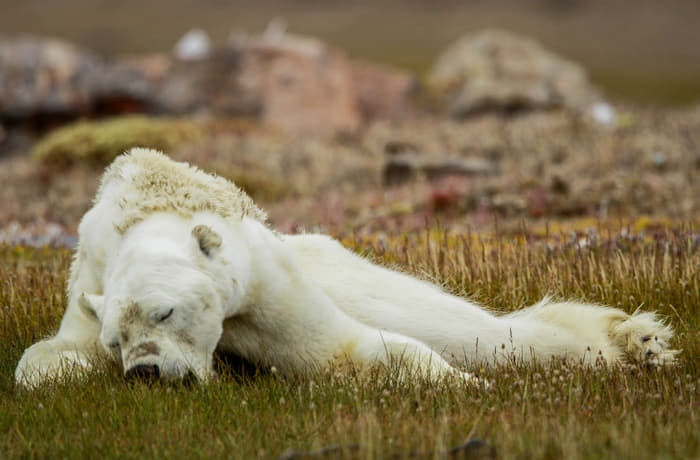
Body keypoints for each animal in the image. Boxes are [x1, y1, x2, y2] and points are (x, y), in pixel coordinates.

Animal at [15, 149, 680, 386]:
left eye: (165, 311)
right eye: (115, 339)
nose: (145, 372)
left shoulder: (263, 289)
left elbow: (345, 346)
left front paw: (469, 387)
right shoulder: (90, 285)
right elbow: (41, 364)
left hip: (331, 264)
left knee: (475, 331)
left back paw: (636, 341)